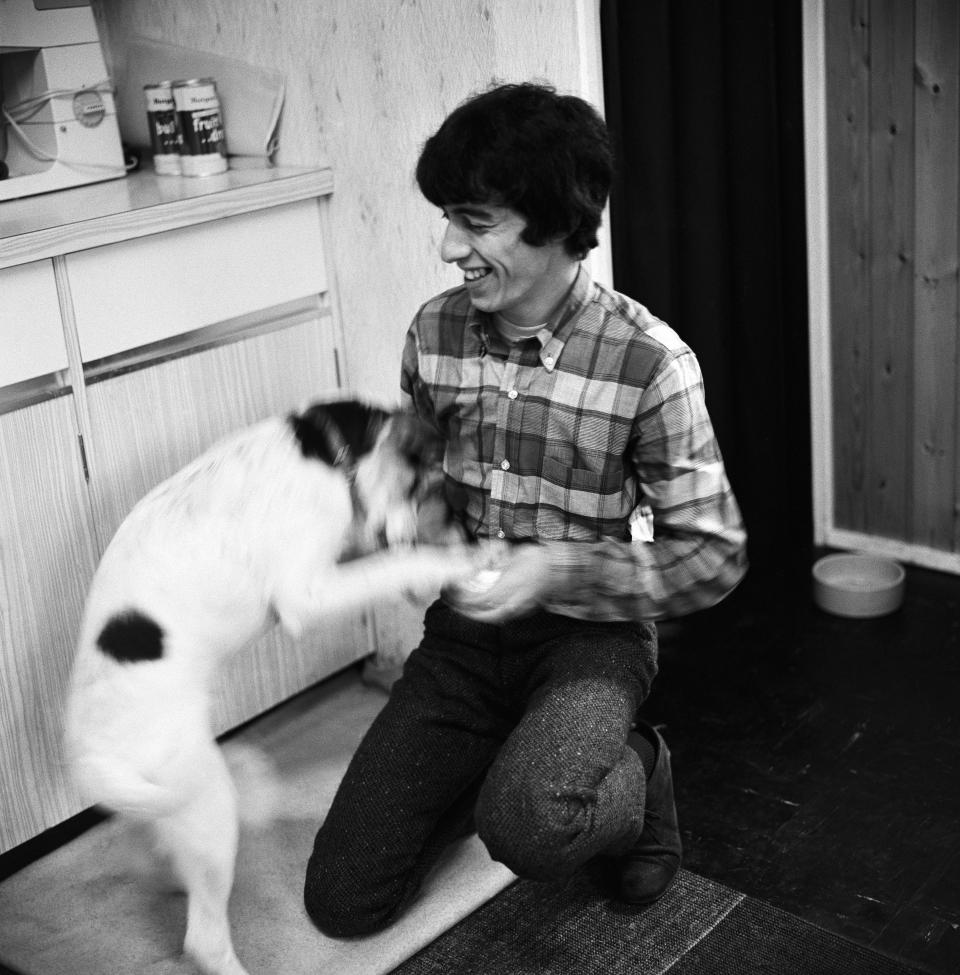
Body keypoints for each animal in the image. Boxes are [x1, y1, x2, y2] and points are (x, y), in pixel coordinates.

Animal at [63, 398, 476, 975]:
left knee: (161, 866)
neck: (332, 450)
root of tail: (90, 759)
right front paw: (449, 563)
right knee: (204, 939)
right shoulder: (308, 593)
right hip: (206, 804)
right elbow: (393, 561)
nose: (466, 527)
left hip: (165, 812)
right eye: (433, 487)